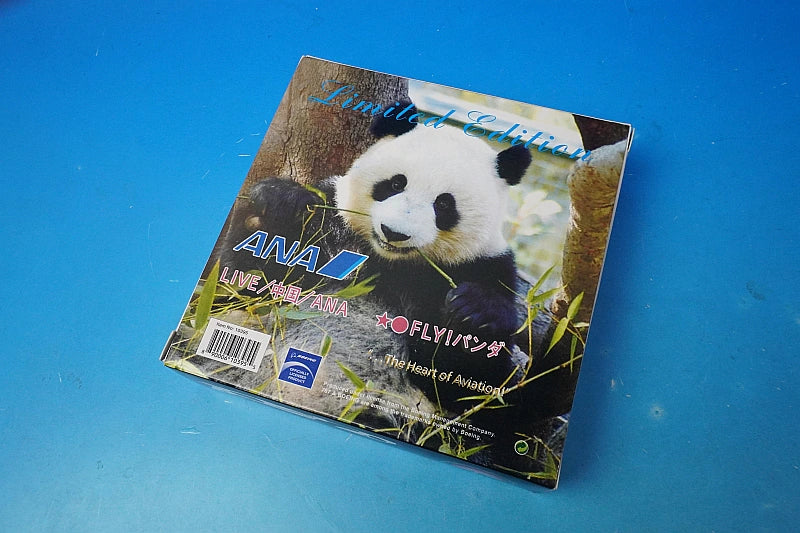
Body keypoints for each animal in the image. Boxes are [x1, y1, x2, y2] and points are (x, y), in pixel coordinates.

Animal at [208, 105, 569, 473]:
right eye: (395, 183)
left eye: (444, 205)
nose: (394, 233)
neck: (393, 264)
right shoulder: (334, 224)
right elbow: (241, 290)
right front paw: (279, 206)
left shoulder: (483, 267)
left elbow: (468, 387)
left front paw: (472, 313)